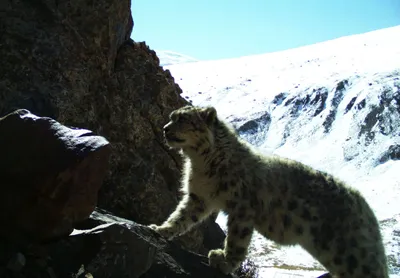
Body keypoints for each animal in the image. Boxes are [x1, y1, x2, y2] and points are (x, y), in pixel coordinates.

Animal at [148, 105, 388, 276]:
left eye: (183, 119)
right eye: (172, 117)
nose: (165, 129)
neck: (201, 164)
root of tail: (368, 210)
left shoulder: (242, 208)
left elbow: (236, 239)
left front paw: (224, 261)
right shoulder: (199, 197)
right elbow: (181, 216)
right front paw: (160, 229)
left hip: (351, 254)